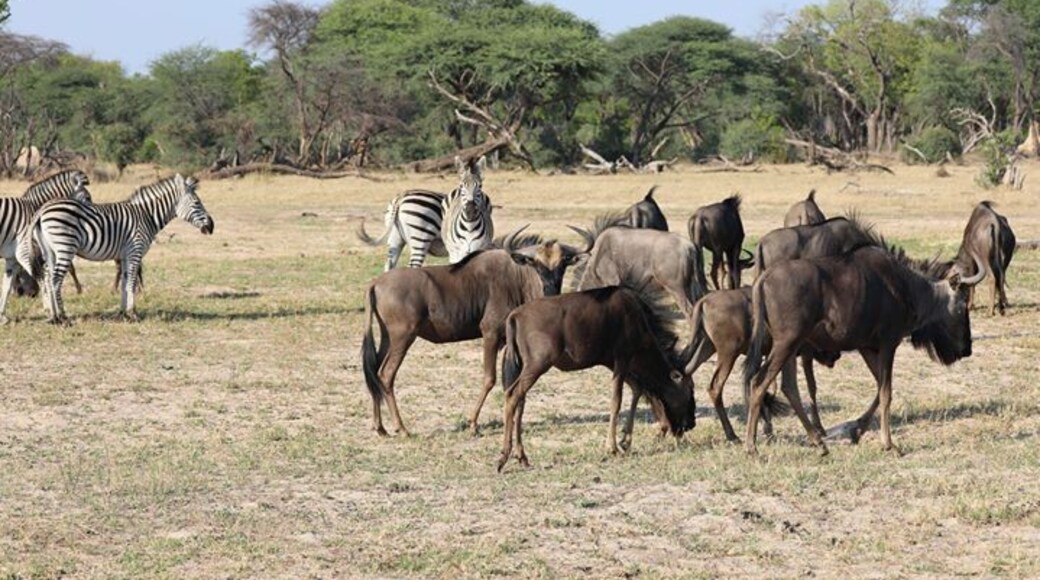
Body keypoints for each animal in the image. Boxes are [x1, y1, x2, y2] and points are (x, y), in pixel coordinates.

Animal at [0, 169, 92, 324]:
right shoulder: (25, 250)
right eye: (87, 197)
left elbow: (7, 285)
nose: (31, 294)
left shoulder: (14, 254)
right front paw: (51, 311)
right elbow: (45, 277)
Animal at [17, 174, 214, 324]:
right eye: (197, 203)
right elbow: (131, 282)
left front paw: (123, 313)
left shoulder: (126, 255)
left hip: (49, 250)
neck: (146, 215)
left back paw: (53, 316)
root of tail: (42, 210)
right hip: (65, 247)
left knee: (47, 277)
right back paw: (63, 316)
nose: (212, 226)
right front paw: (133, 314)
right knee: (55, 279)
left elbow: (126, 281)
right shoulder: (135, 251)